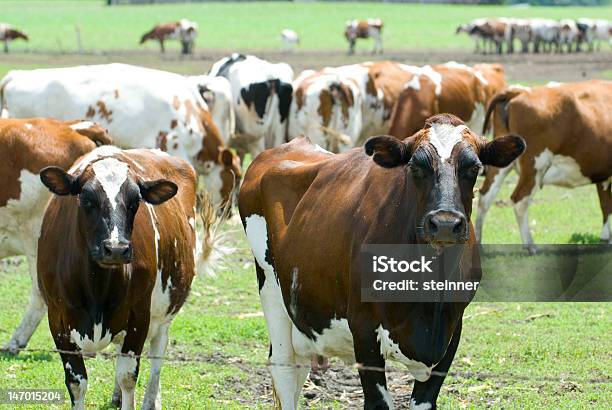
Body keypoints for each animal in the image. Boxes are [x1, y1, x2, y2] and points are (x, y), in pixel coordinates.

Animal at [35, 147, 197, 410]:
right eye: (86, 199)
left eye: (135, 201)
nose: (117, 249)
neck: (96, 287)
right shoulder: (57, 318)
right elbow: (76, 382)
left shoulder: (139, 314)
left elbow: (128, 375)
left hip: (164, 313)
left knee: (158, 351)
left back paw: (152, 399)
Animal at [239, 114, 524, 410]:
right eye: (416, 167)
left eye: (474, 168)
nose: (445, 224)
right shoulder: (363, 328)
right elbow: (378, 401)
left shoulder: (452, 330)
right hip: (271, 290)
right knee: (283, 369)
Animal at [478, 80, 612, 253]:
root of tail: (518, 91)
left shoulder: (603, 175)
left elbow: (605, 205)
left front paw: (606, 238)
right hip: (535, 166)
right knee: (519, 200)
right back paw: (530, 245)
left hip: (501, 163)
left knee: (485, 197)